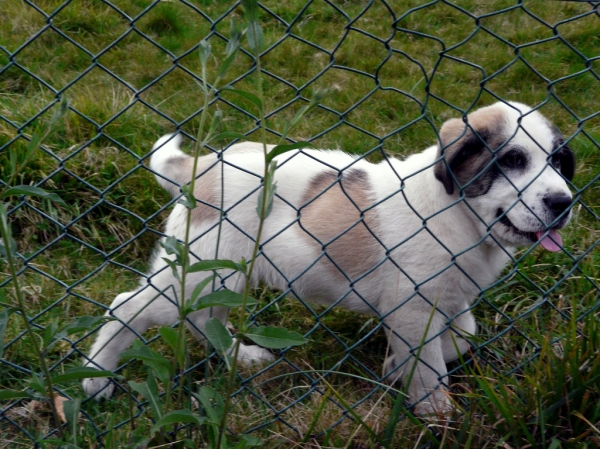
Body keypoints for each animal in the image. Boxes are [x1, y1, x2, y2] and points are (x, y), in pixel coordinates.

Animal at [82, 101, 576, 412]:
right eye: (511, 160)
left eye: (556, 162)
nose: (563, 202)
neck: (459, 214)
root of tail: (202, 165)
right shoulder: (413, 307)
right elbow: (431, 368)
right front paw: (435, 413)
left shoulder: (450, 300)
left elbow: (459, 338)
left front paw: (396, 366)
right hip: (195, 273)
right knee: (126, 308)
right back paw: (94, 379)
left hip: (221, 275)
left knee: (206, 318)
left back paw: (242, 356)